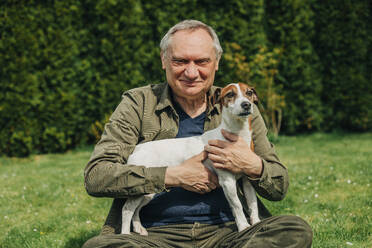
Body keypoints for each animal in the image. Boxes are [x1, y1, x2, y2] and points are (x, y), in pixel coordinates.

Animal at [121, 83, 258, 234]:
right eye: (230, 94)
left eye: (249, 93)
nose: (246, 105)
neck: (238, 135)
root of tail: (137, 149)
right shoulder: (227, 181)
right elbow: (237, 205)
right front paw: (243, 226)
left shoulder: (248, 181)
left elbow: (253, 204)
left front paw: (256, 222)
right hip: (141, 188)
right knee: (127, 209)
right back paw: (125, 234)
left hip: (147, 191)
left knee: (136, 210)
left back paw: (138, 228)